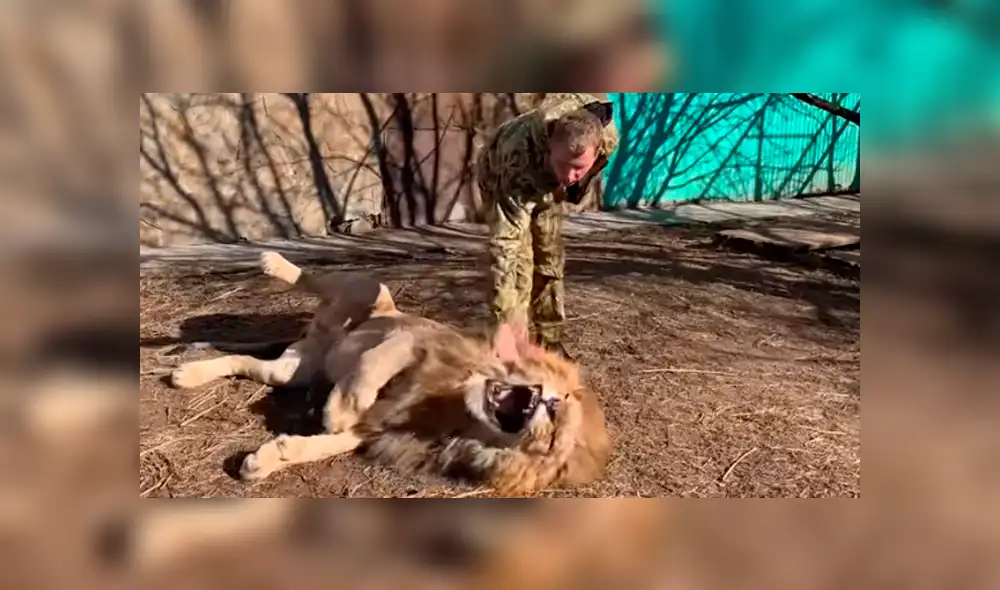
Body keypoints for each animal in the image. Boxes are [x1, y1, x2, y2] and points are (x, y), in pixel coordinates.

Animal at [168, 252, 611, 494]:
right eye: (559, 401)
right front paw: (337, 410)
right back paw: (273, 263)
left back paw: (187, 374)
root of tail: (318, 333)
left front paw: (267, 459)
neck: (456, 408)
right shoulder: (411, 342)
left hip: (293, 369)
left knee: (245, 363)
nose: (549, 404)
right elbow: (368, 371)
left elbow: (323, 446)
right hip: (368, 289)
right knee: (316, 278)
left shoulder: (374, 431)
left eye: (553, 436)